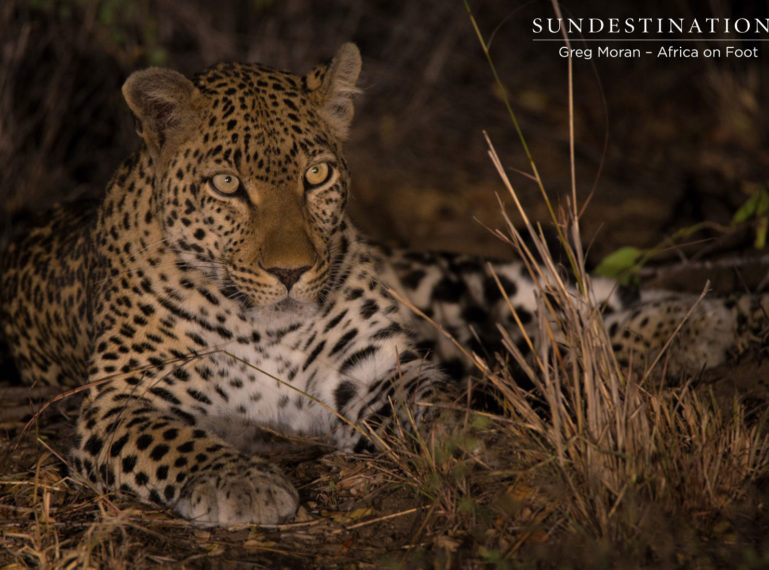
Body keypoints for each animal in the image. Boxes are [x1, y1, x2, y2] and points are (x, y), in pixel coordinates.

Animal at [1, 42, 768, 524]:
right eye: (226, 186)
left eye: (315, 175)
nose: (290, 272)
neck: (260, 321)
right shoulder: (117, 402)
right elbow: (175, 440)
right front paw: (242, 482)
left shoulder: (368, 368)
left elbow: (428, 399)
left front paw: (472, 435)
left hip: (462, 286)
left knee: (570, 303)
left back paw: (695, 324)